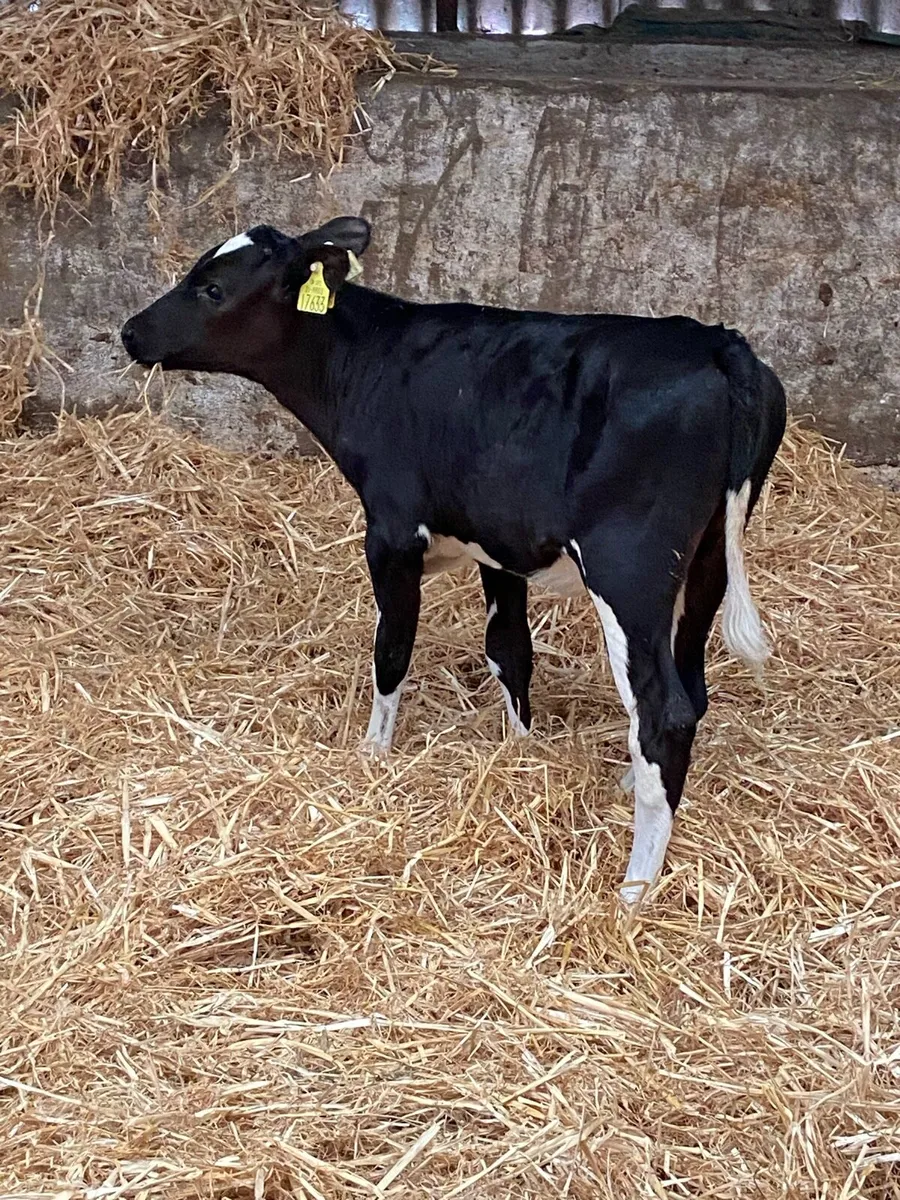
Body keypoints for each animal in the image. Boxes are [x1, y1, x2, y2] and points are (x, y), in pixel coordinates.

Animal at [121, 216, 786, 905]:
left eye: (213, 289)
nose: (131, 331)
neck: (371, 362)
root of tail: (719, 342)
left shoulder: (392, 531)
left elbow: (391, 650)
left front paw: (374, 753)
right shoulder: (497, 545)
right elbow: (510, 651)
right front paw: (520, 752)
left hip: (630, 569)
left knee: (664, 715)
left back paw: (633, 889)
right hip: (706, 563)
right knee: (691, 689)